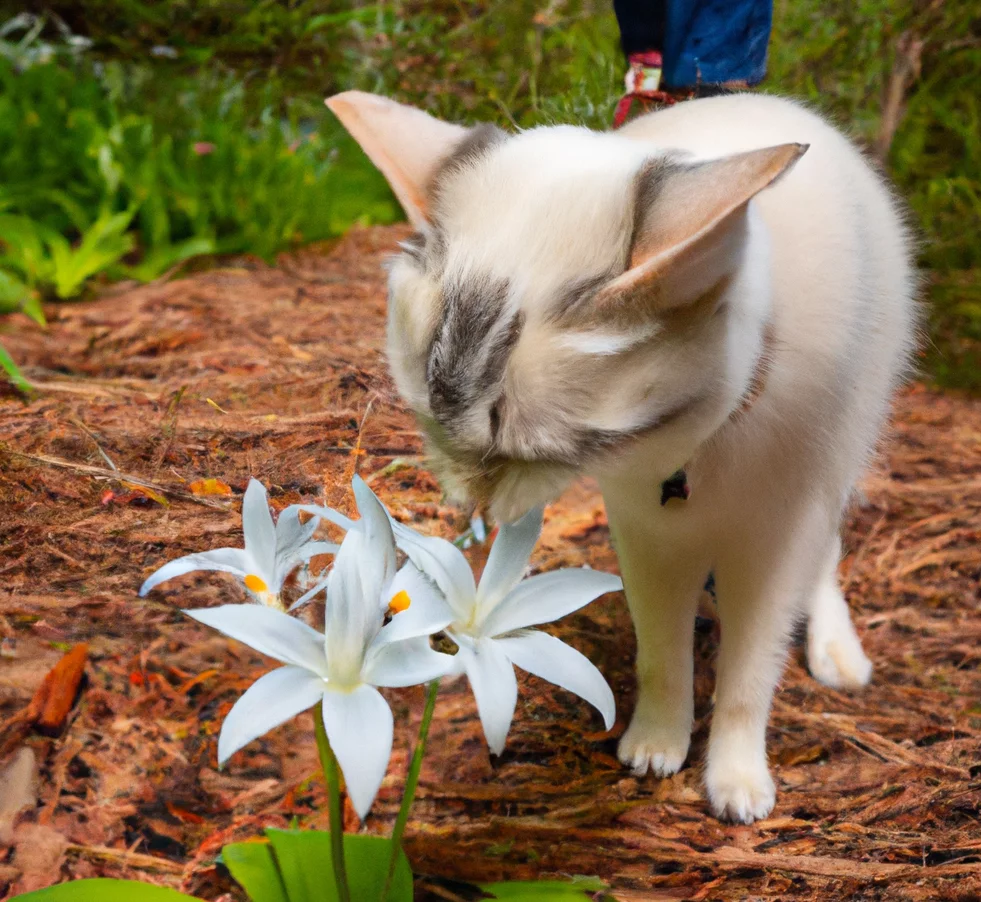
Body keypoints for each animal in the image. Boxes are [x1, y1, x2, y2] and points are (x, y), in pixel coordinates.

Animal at [330, 92, 920, 828]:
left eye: (526, 454)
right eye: (432, 426)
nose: (474, 506)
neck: (699, 452)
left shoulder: (775, 540)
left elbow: (749, 675)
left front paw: (735, 777)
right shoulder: (643, 535)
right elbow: (661, 656)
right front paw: (658, 743)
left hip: (840, 456)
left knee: (827, 553)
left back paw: (835, 649)